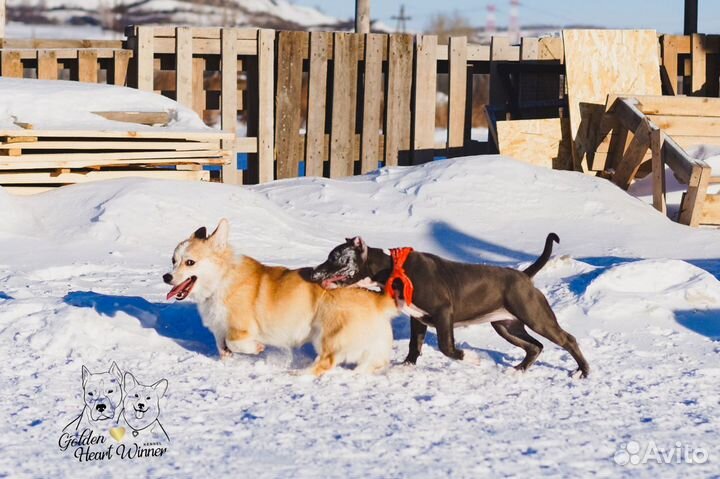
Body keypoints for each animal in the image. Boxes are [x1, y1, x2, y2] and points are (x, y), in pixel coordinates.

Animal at [163, 219, 396, 376]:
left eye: (190, 262)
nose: (166, 277)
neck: (221, 279)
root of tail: (377, 300)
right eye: (173, 260)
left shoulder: (241, 329)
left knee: (325, 362)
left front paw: (257, 348)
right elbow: (223, 346)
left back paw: (298, 374)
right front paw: (228, 358)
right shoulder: (219, 330)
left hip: (327, 335)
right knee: (374, 362)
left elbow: (236, 342)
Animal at [310, 234, 592, 380]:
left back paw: (583, 371)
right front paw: (407, 365)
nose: (314, 272)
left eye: (336, 257)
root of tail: (524, 276)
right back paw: (520, 369)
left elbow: (448, 348)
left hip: (535, 316)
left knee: (567, 339)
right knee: (535, 346)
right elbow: (414, 344)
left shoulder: (443, 313)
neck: (391, 269)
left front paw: (474, 359)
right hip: (506, 325)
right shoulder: (417, 319)